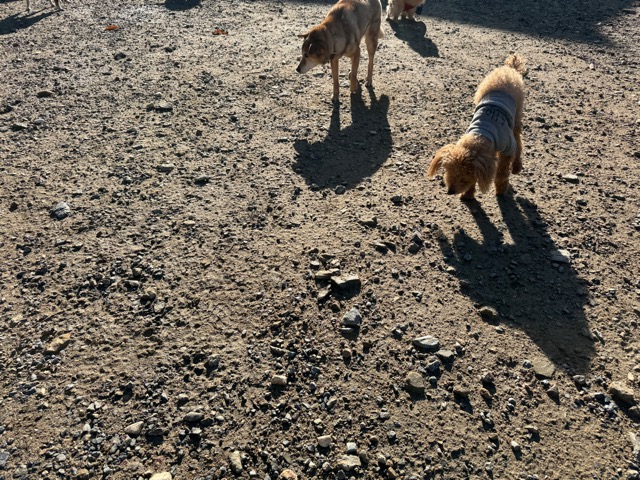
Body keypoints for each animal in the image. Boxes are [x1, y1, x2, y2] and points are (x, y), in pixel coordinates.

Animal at [427, 54, 526, 200]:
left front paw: (501, 189)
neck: (481, 134)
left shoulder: (507, 147)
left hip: (517, 115)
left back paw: (517, 166)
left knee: (518, 139)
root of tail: (509, 68)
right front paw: (468, 194)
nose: (450, 191)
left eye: (463, 178)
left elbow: (502, 172)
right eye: (448, 173)